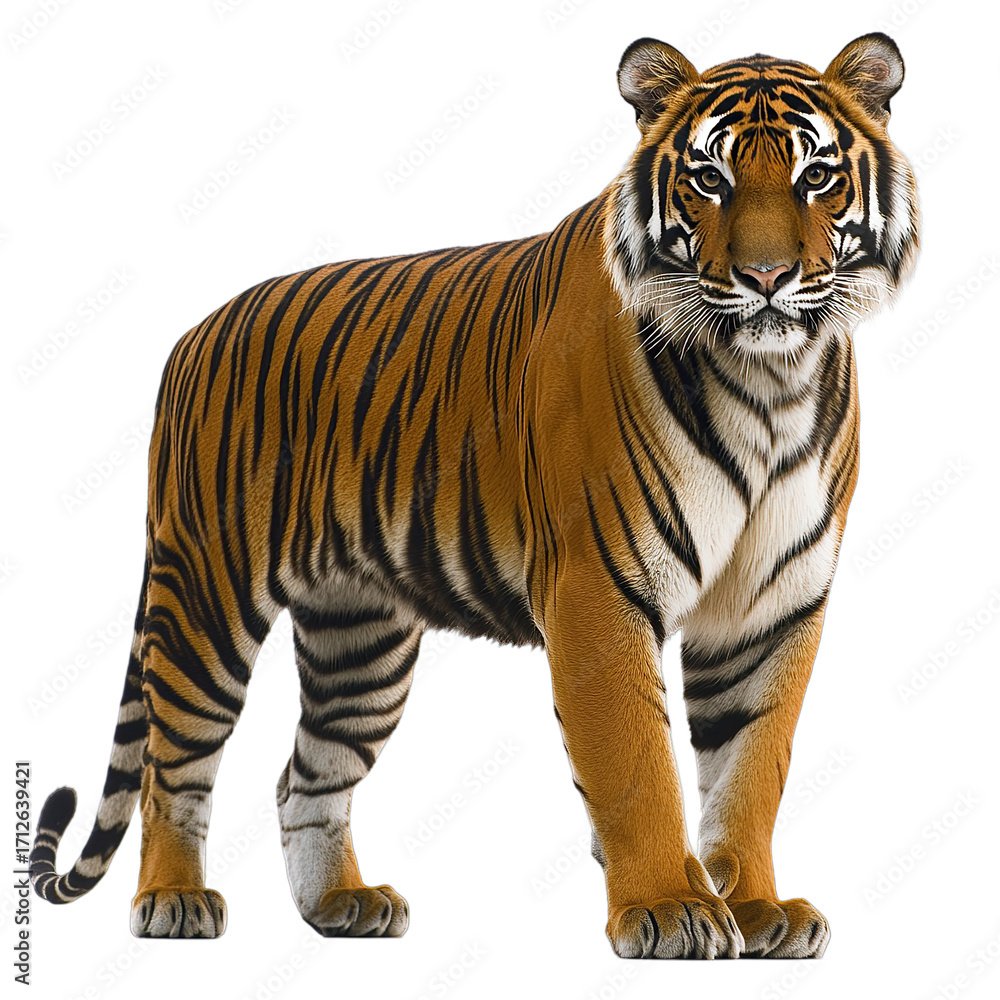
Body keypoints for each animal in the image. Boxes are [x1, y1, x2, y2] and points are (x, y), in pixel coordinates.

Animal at [30, 32, 918, 959]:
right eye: (709, 178)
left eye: (816, 176)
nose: (767, 276)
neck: (769, 382)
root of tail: (191, 336)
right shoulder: (599, 589)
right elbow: (637, 764)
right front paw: (671, 907)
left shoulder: (772, 606)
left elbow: (751, 768)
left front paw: (756, 910)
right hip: (208, 594)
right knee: (173, 761)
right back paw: (174, 901)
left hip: (360, 641)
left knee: (305, 776)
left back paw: (342, 904)